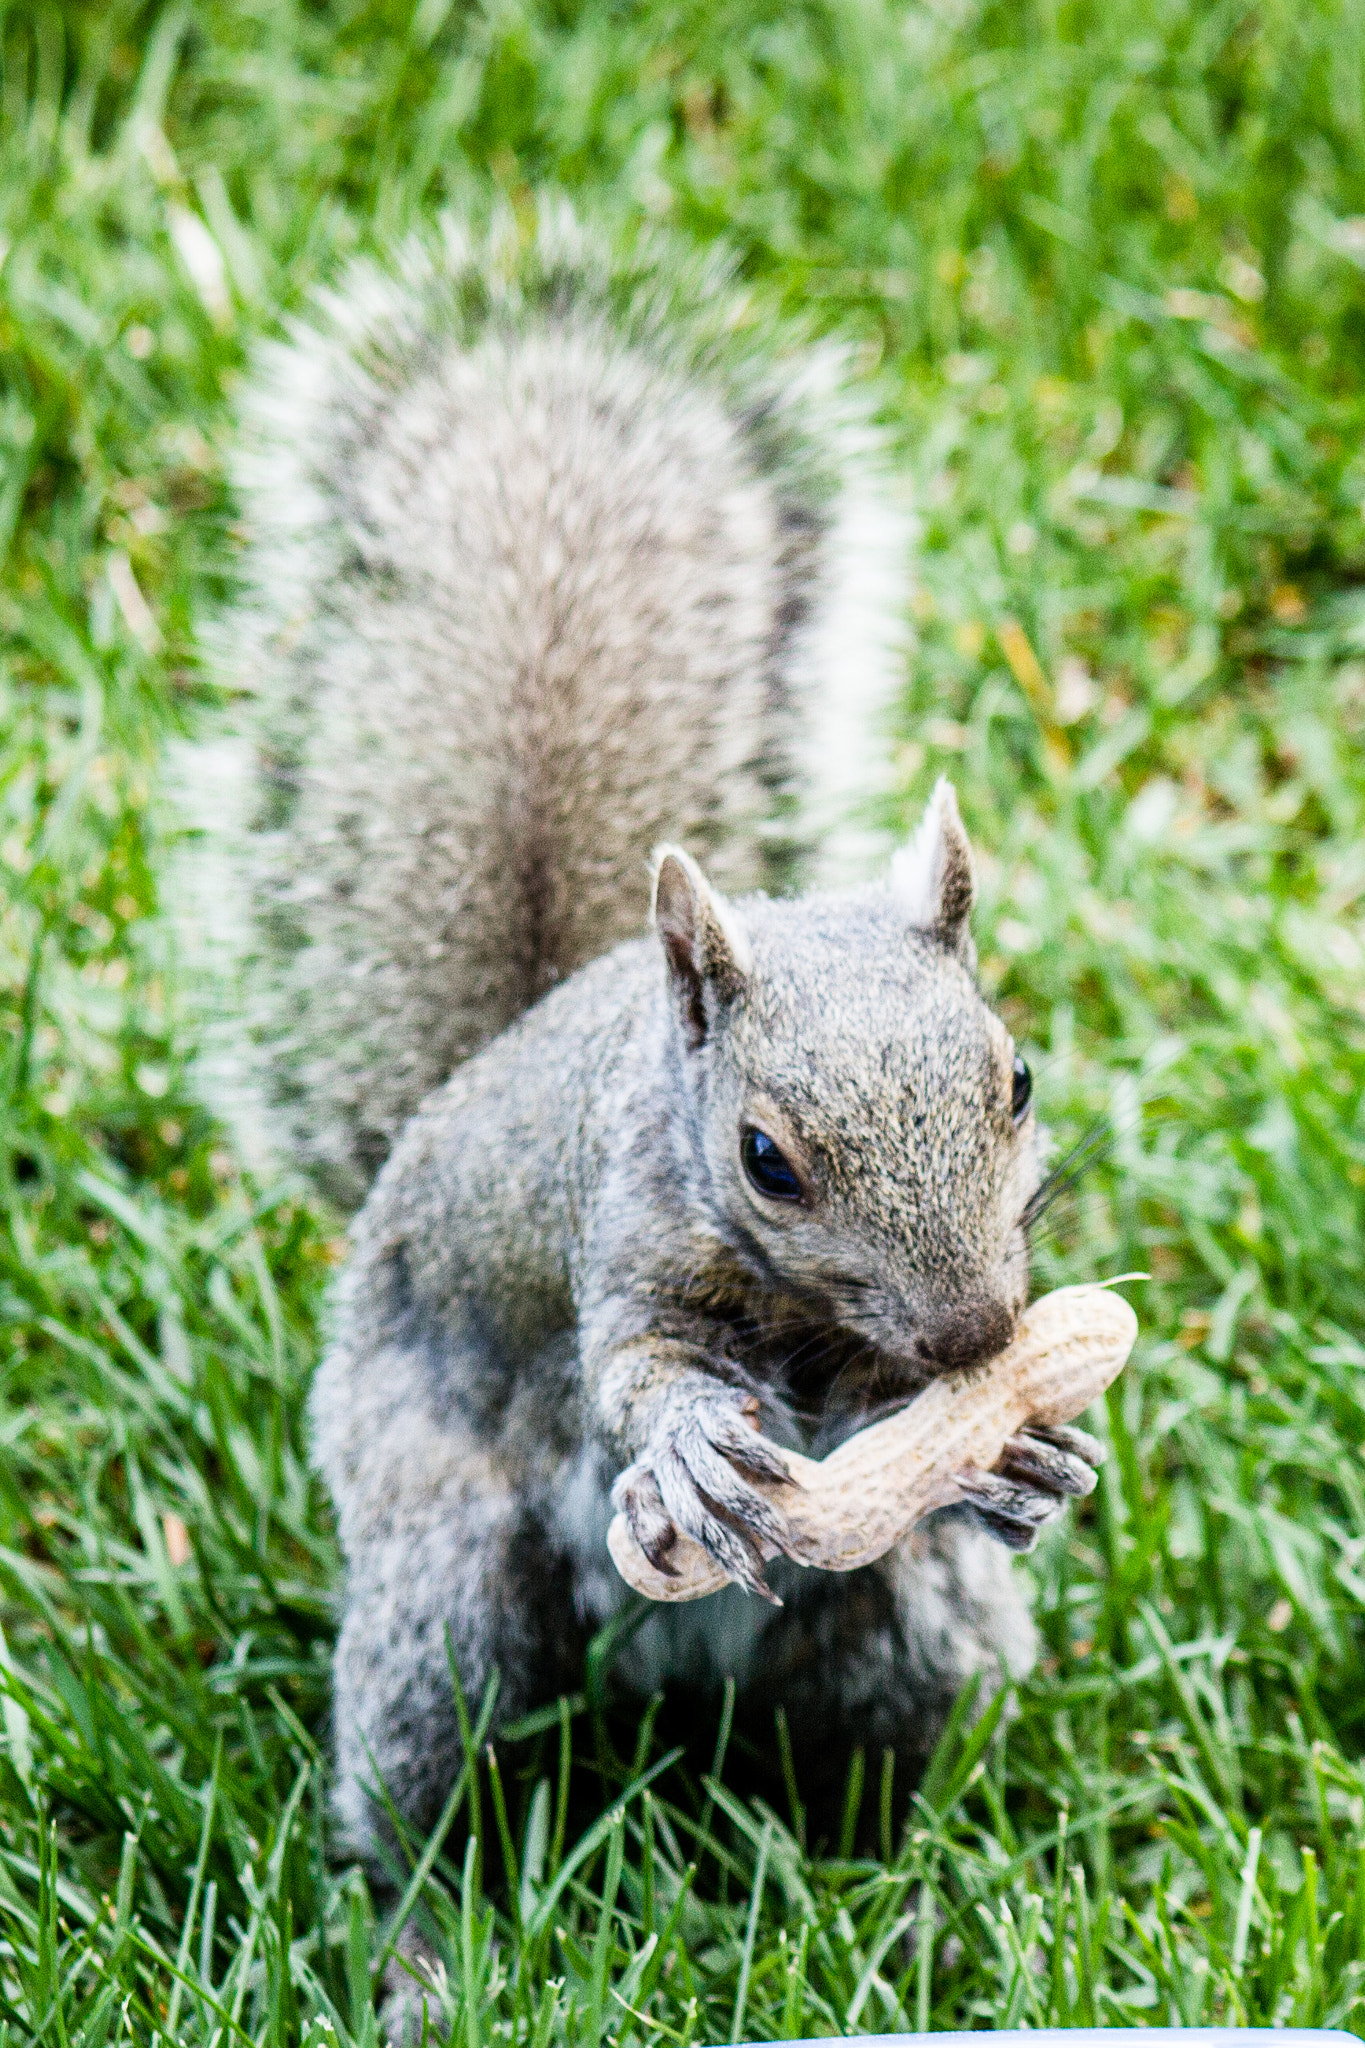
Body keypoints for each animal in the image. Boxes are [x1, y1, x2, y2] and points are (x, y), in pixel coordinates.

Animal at [192, 201, 1103, 1874]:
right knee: (423, 1767)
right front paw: (685, 1439)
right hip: (443, 1578)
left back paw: (892, 1889)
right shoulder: (613, 1248)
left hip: (900, 1631)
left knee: (877, 1747)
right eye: (764, 1160)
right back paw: (423, 1919)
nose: (972, 1344)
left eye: (1017, 1079)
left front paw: (1023, 1461)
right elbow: (632, 1369)